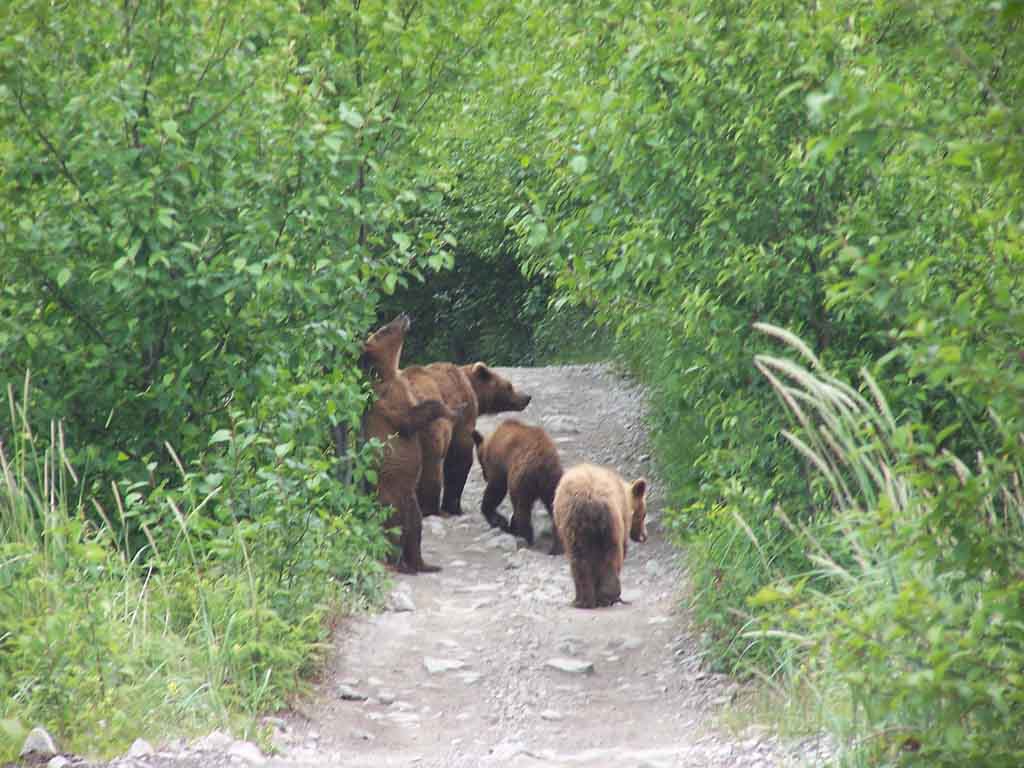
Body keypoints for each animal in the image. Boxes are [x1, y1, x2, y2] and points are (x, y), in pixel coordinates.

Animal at [405, 364, 536, 520]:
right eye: (509, 386)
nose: (527, 397)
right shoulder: (462, 412)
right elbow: (459, 458)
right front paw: (454, 507)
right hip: (429, 428)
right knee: (431, 467)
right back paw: (431, 510)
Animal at [468, 421, 561, 552]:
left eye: (480, 460)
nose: (485, 477)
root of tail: (543, 464)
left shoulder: (500, 463)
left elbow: (496, 489)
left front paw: (498, 520)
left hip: (522, 476)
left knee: (521, 506)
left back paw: (523, 535)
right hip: (552, 483)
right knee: (554, 507)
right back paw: (556, 547)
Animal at [552, 466, 647, 610]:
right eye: (644, 514)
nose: (644, 536)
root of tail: (590, 500)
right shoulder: (622, 520)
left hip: (573, 528)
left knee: (578, 560)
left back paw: (582, 600)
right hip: (610, 525)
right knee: (611, 556)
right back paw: (608, 596)